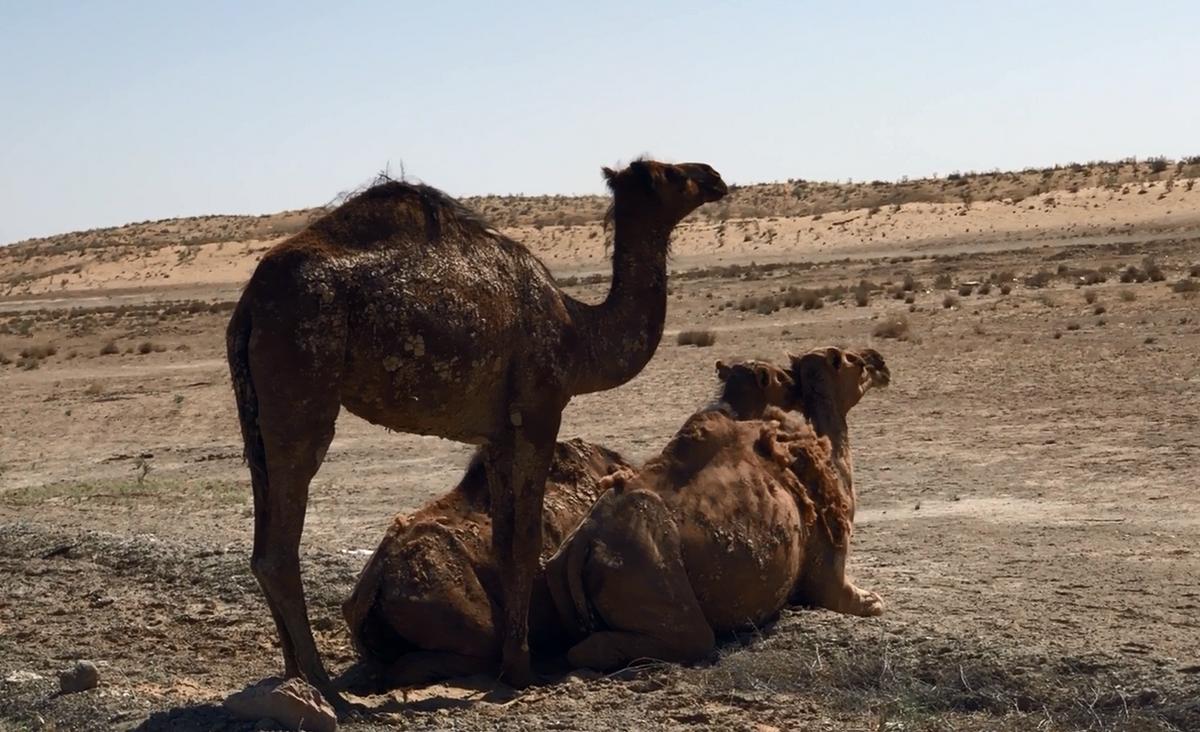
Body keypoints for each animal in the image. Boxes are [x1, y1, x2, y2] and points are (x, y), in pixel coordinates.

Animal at [544, 347, 889, 671]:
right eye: (854, 361)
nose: (880, 363)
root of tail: (580, 545)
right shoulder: (828, 571)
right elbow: (863, 600)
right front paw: (873, 601)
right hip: (649, 573)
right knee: (688, 638)